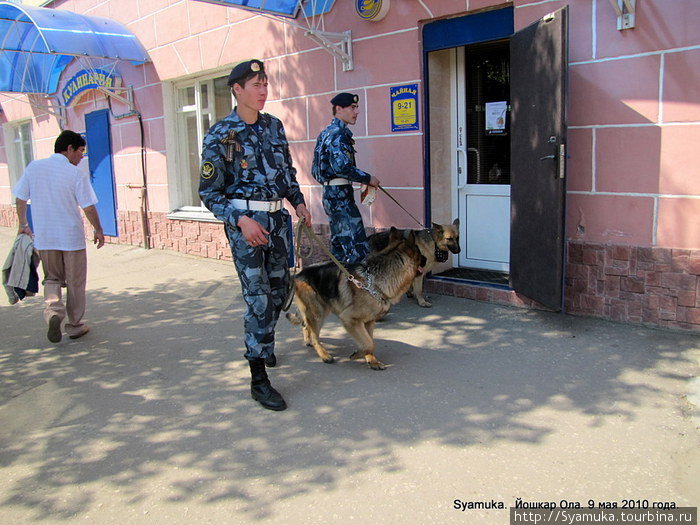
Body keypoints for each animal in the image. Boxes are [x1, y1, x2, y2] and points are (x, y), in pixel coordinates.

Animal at [286, 228, 426, 368]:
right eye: (420, 254)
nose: (426, 259)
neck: (373, 282)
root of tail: (299, 274)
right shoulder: (349, 319)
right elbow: (369, 343)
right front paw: (359, 354)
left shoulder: (369, 322)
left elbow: (369, 340)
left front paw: (371, 360)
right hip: (318, 314)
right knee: (315, 336)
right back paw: (324, 355)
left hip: (321, 310)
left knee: (306, 325)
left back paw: (308, 340)